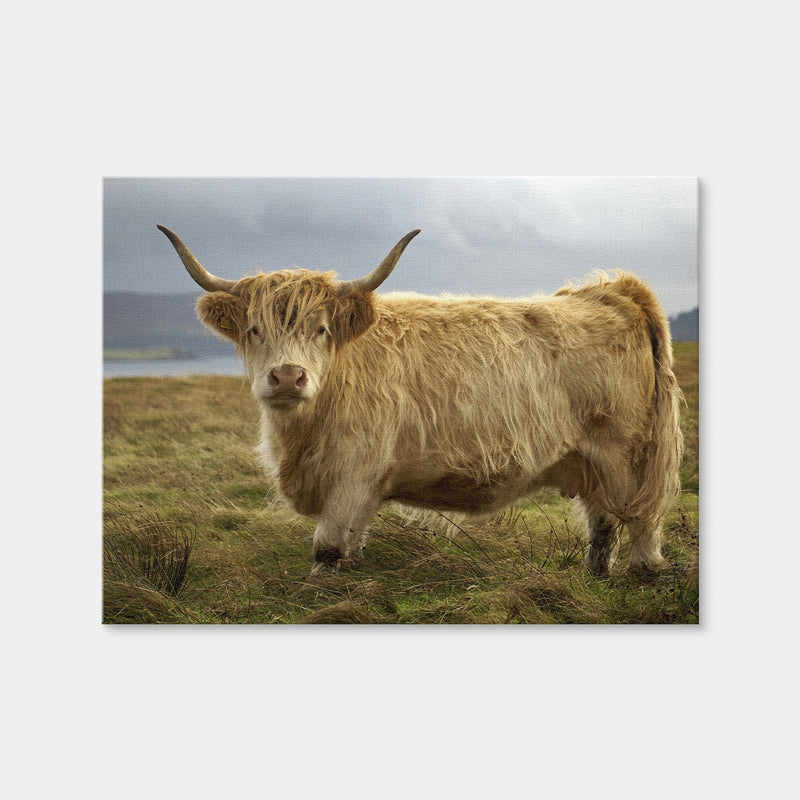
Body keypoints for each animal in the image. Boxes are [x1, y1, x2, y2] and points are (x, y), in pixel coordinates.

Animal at [158, 225, 684, 577]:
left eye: (322, 329)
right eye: (253, 330)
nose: (288, 377)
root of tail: (612, 290)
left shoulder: (352, 473)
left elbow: (326, 549)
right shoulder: (363, 487)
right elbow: (351, 546)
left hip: (625, 453)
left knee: (640, 521)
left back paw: (641, 575)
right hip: (589, 459)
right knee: (602, 522)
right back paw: (593, 576)